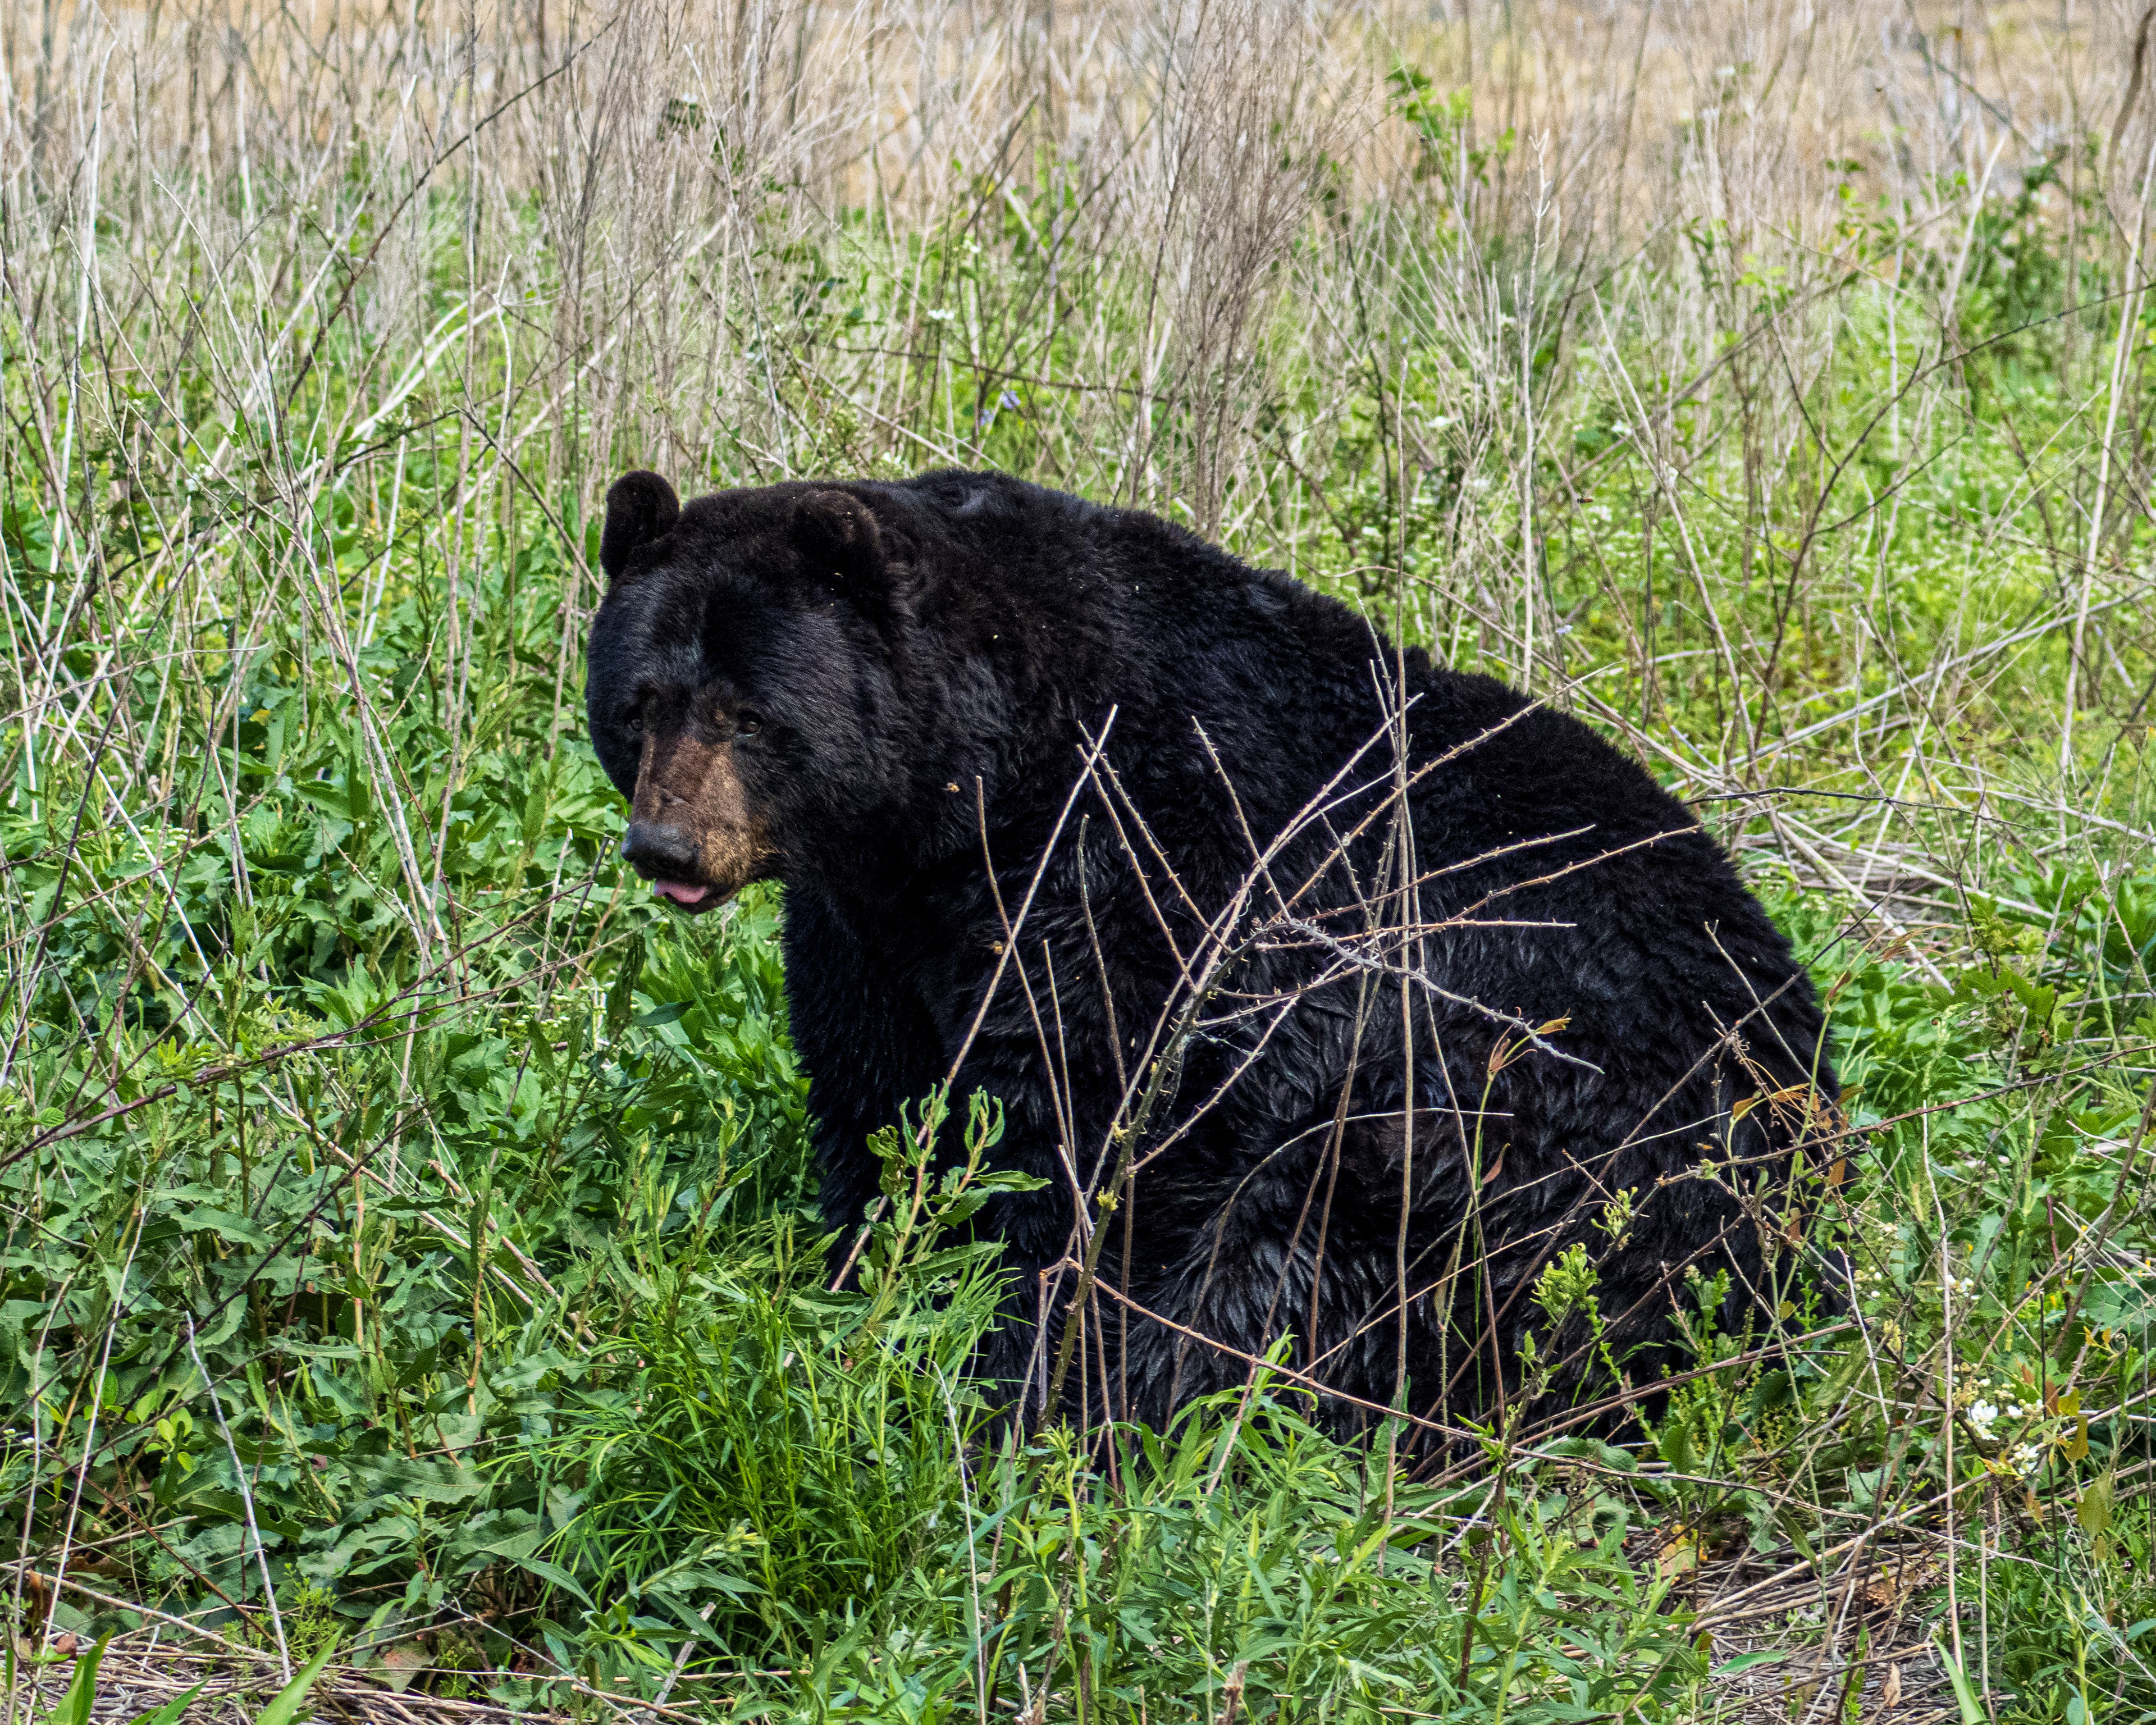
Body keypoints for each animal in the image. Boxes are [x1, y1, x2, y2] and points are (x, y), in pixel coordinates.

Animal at [585, 466, 1839, 1443]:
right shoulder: (873, 922)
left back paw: (1121, 1401)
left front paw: (1007, 1336)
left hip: (1508, 1111)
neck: (974, 789)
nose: (665, 846)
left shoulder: (1128, 870)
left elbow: (1069, 1119)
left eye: (749, 715)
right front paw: (859, 1269)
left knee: (1283, 1259)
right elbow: (880, 1094)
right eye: (641, 703)